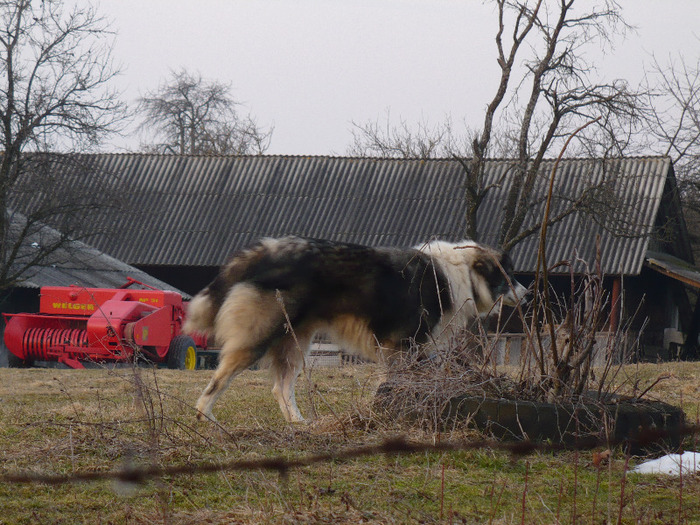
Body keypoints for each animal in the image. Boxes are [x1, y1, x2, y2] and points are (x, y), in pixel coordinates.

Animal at [185, 236, 524, 422]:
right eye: (508, 276)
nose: (529, 293)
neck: (462, 273)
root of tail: (265, 250)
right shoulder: (404, 345)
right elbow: (396, 382)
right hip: (262, 335)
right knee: (221, 378)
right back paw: (205, 416)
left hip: (295, 342)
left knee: (281, 387)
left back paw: (298, 423)